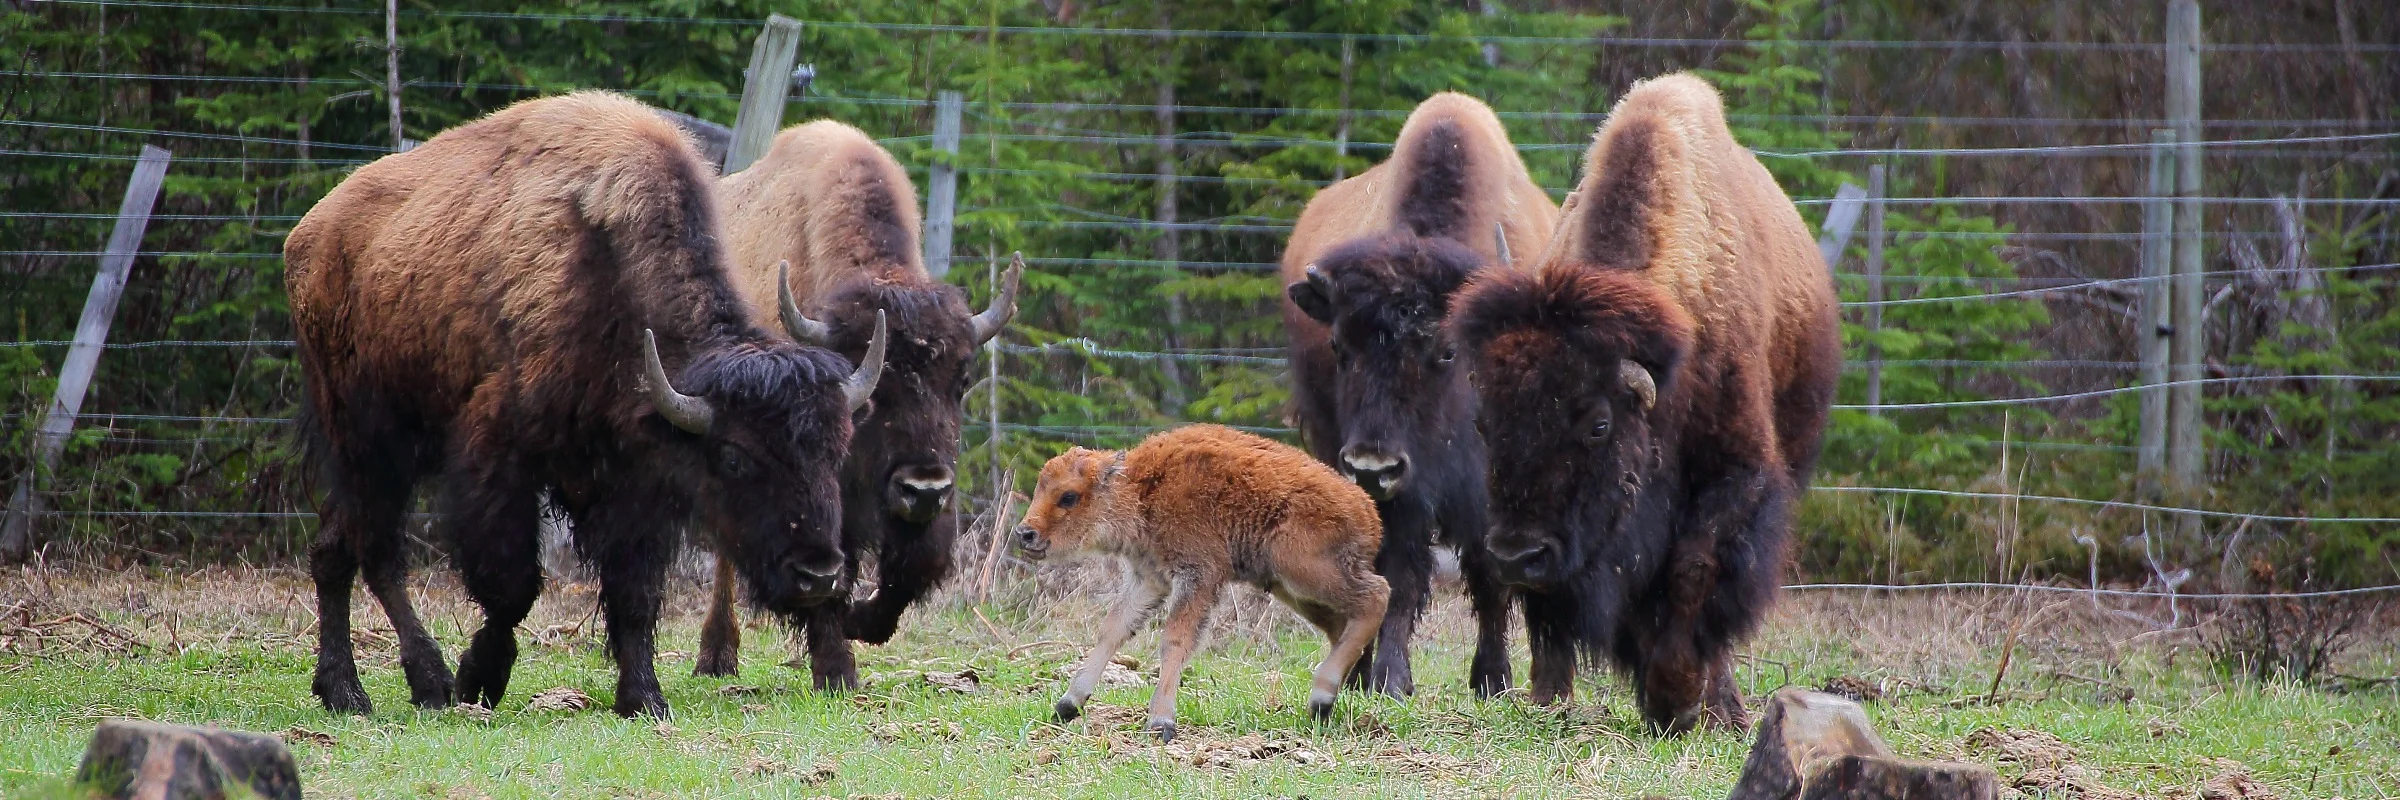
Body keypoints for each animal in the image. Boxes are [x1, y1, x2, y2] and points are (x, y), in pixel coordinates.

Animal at [286, 92, 886, 718]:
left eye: (837, 451)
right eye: (735, 457)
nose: (818, 573)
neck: (610, 281)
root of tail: (307, 235)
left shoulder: (637, 487)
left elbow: (636, 594)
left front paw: (643, 698)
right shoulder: (498, 457)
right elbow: (512, 584)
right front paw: (480, 677)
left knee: (335, 548)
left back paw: (344, 688)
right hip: (370, 442)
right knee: (376, 551)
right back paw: (412, 684)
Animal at [1280, 92, 1561, 698]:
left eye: (1448, 351)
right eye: (1338, 345)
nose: (1372, 466)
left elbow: (1489, 573)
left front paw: (1492, 679)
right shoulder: (1398, 495)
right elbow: (1398, 575)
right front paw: (1386, 678)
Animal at [1450, 74, 1841, 733]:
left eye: (1598, 425)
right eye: (1482, 423)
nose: (1516, 555)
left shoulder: (1737, 475)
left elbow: (1694, 572)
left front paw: (1676, 699)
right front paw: (1555, 696)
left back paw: (1724, 708)